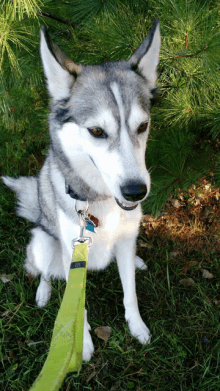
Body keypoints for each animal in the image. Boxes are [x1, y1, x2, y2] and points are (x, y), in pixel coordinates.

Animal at [2, 19, 161, 362]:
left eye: (142, 127)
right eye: (97, 131)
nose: (135, 191)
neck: (100, 204)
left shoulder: (125, 238)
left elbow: (130, 293)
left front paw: (137, 327)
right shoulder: (72, 253)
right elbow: (78, 305)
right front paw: (82, 344)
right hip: (42, 242)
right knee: (43, 271)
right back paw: (43, 292)